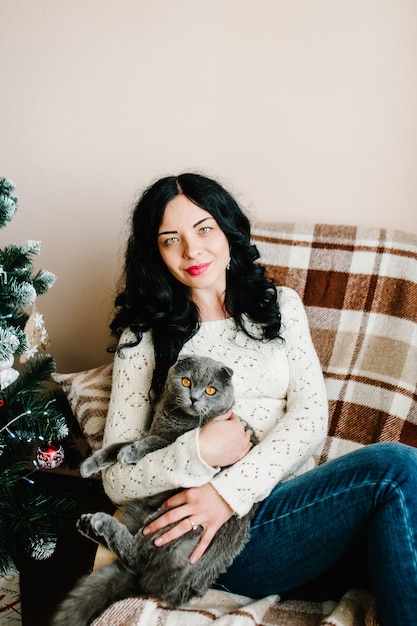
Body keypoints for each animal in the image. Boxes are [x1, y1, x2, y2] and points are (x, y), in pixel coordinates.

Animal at [51, 356, 256, 624]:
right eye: (186, 382)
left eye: (211, 390)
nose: (194, 398)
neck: (174, 417)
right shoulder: (154, 431)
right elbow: (119, 444)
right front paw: (91, 464)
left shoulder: (171, 439)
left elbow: (151, 443)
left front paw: (129, 453)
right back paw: (87, 524)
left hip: (173, 523)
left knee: (136, 556)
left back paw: (99, 522)